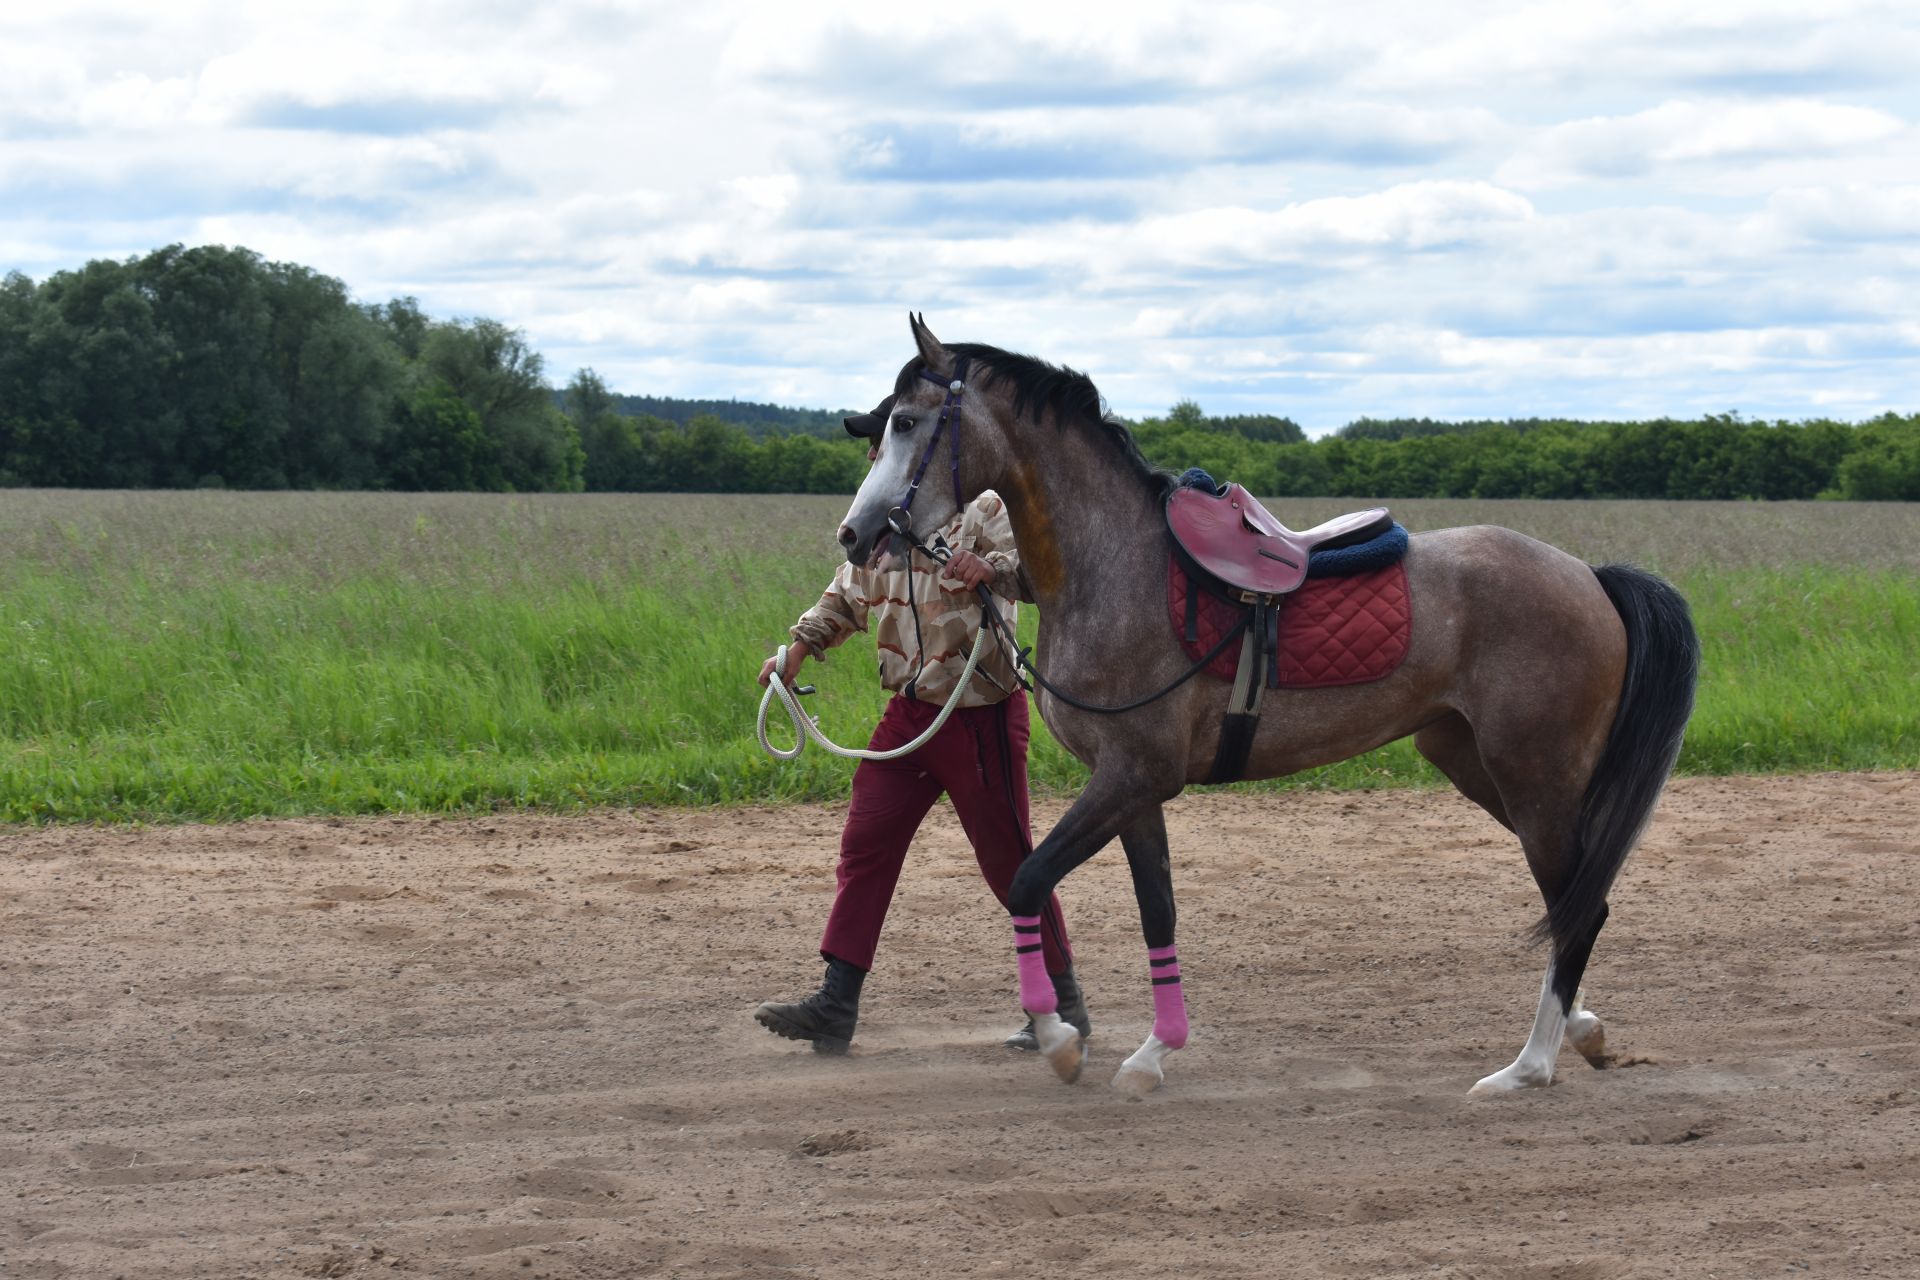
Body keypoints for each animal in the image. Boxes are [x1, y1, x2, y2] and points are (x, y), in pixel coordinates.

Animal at [837, 314, 1697, 1097]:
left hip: (1535, 776)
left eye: (908, 422)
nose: (855, 534)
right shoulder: (1135, 788)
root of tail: (1590, 577)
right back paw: (1581, 1032)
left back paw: (1528, 1067)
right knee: (1579, 897)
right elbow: (1157, 910)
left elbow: (1026, 880)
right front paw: (1154, 1052)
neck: (1116, 567)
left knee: (1577, 906)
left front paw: (1059, 1041)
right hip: (1475, 762)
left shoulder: (1129, 776)